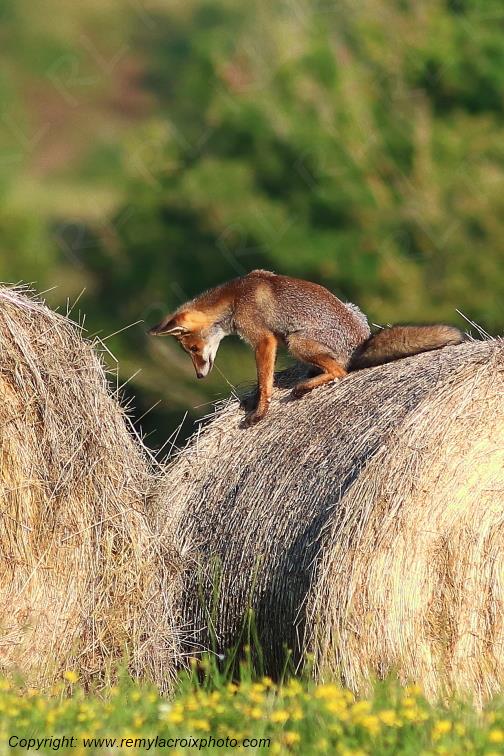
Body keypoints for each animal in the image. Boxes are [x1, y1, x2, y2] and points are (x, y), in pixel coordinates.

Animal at [149, 270, 465, 426]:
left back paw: (305, 386)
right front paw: (254, 400)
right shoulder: (273, 340)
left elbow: (265, 381)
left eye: (192, 349)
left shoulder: (264, 339)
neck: (235, 297)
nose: (200, 376)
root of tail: (361, 343)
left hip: (297, 341)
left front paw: (260, 412)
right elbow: (265, 379)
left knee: (341, 371)